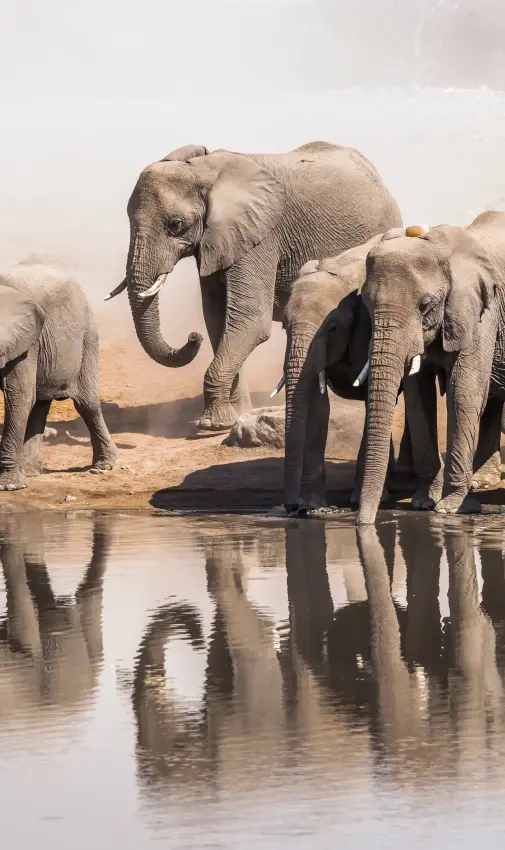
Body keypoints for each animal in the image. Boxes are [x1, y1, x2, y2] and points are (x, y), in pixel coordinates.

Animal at [0, 260, 117, 490]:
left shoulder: (25, 343)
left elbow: (18, 397)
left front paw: (9, 486)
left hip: (87, 337)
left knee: (87, 404)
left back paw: (104, 466)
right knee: (39, 404)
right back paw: (31, 471)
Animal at [107, 141, 402, 435]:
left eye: (176, 225)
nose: (192, 337)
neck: (204, 170)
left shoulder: (261, 236)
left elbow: (250, 321)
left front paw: (211, 425)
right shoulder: (219, 241)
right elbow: (218, 321)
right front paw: (233, 417)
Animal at [280, 231, 415, 513]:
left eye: (332, 327)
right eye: (285, 326)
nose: (292, 508)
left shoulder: (369, 326)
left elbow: (370, 398)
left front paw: (359, 500)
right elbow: (318, 406)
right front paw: (311, 504)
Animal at [357, 211, 505, 525]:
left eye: (426, 305)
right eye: (365, 302)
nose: (362, 523)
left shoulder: (481, 311)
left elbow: (464, 392)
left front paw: (451, 507)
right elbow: (418, 397)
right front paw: (424, 502)